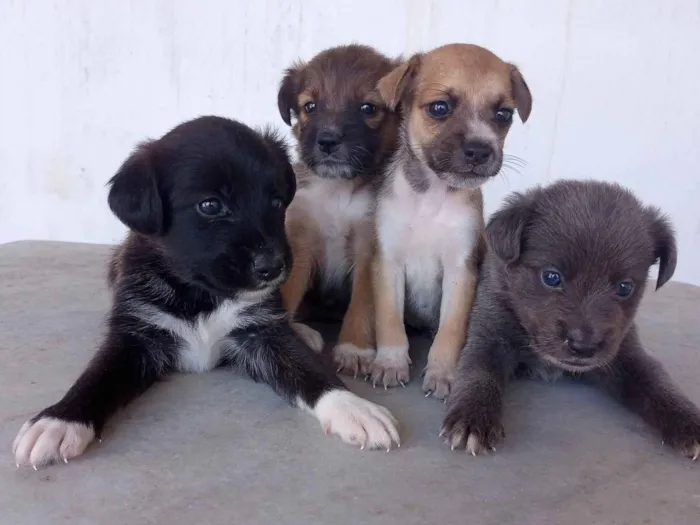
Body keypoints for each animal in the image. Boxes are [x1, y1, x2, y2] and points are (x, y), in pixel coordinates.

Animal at [12, 115, 400, 466]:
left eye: (277, 202)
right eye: (210, 205)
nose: (273, 268)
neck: (201, 294)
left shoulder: (262, 332)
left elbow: (308, 369)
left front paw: (354, 407)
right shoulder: (136, 335)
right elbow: (98, 375)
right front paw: (59, 420)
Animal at [278, 44, 400, 372]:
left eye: (368, 108)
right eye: (310, 106)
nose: (328, 141)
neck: (337, 188)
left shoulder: (368, 246)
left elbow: (362, 302)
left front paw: (354, 348)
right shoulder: (300, 239)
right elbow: (290, 289)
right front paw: (289, 333)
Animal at [372, 44, 532, 398]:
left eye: (504, 114)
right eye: (440, 108)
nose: (480, 150)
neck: (430, 198)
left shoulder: (460, 271)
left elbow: (451, 330)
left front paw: (443, 373)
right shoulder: (389, 265)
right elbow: (389, 321)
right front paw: (390, 361)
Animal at [442, 179, 700, 458]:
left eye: (625, 287)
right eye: (551, 277)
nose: (584, 347)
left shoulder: (625, 353)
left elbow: (655, 381)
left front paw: (687, 420)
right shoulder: (489, 332)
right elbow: (479, 371)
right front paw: (473, 417)